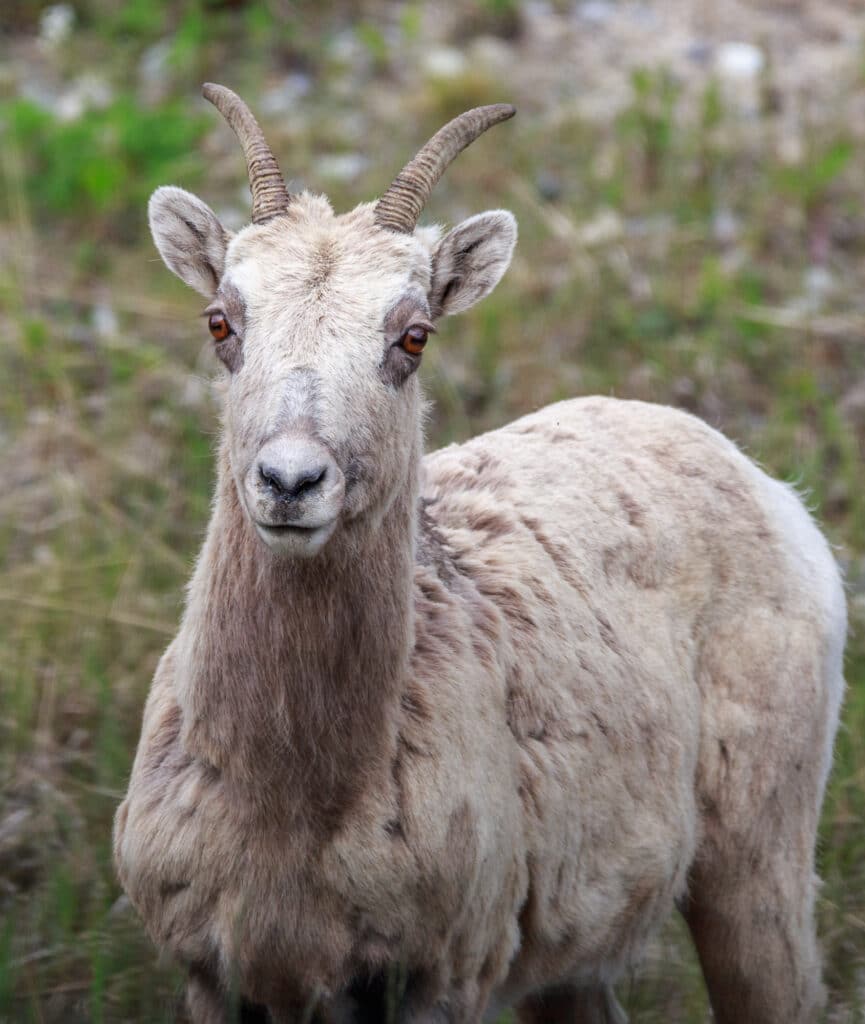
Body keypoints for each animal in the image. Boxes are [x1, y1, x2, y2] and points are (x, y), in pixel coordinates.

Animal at [113, 83, 843, 1019]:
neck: (288, 804)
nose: (290, 480)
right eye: (220, 322)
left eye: (413, 336)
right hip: (573, 963)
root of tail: (766, 488)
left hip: (758, 867)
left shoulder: (441, 977)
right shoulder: (215, 978)